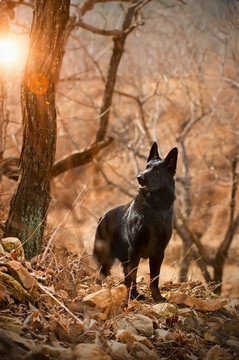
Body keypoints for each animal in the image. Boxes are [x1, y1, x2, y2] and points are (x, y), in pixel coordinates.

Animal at [93, 142, 177, 302]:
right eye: (147, 166)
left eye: (157, 170)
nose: (139, 177)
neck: (154, 208)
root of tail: (102, 216)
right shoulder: (135, 250)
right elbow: (133, 277)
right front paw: (131, 297)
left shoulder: (158, 253)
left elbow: (154, 279)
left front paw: (157, 298)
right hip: (107, 257)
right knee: (101, 275)